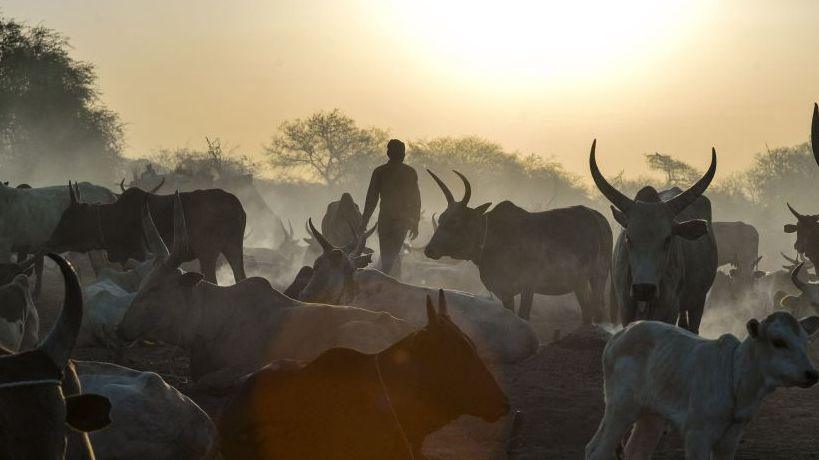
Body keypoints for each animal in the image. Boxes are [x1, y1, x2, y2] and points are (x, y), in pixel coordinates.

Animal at [48, 182, 247, 284]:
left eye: (69, 218)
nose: (51, 240)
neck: (112, 218)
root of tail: (236, 204)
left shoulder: (141, 255)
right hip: (233, 249)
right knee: (240, 277)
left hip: (208, 253)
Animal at [424, 169, 612, 322]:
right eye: (441, 219)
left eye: (455, 221)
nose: (429, 250)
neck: (492, 237)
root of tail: (599, 219)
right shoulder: (505, 292)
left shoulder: (528, 286)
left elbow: (523, 316)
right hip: (580, 283)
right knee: (587, 312)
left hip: (599, 276)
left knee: (599, 311)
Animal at [586, 312, 819, 460]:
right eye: (778, 342)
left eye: (806, 342)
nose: (811, 374)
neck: (735, 377)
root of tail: (620, 334)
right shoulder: (697, 436)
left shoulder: (730, 441)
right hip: (621, 408)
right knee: (596, 451)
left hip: (651, 415)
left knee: (636, 452)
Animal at [590, 140, 718, 333]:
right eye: (628, 238)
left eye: (667, 239)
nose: (644, 288)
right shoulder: (625, 308)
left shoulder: (669, 307)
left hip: (698, 300)